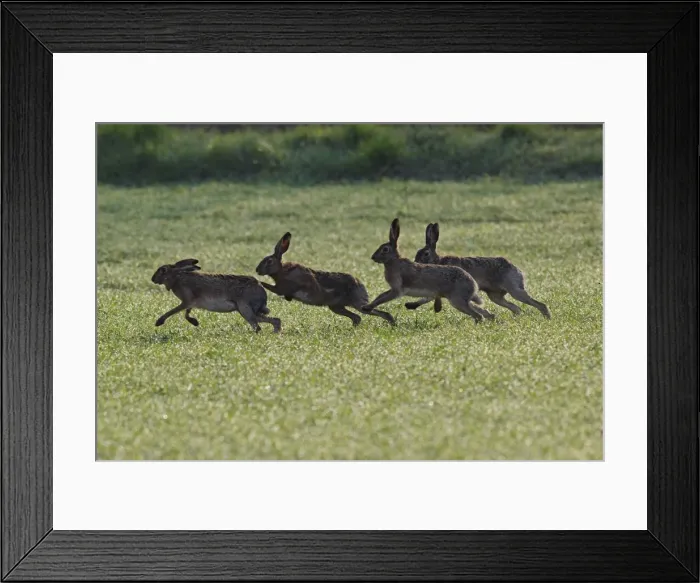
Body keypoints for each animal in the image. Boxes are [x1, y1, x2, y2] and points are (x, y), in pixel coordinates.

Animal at [151, 258, 281, 332]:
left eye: (163, 270)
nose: (153, 279)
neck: (176, 277)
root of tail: (261, 290)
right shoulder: (191, 303)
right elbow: (187, 314)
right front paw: (195, 322)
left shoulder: (187, 301)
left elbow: (174, 311)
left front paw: (159, 322)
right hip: (244, 310)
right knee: (274, 320)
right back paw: (276, 332)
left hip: (245, 309)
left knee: (257, 325)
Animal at [255, 232, 395, 327]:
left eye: (269, 261)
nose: (257, 270)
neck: (281, 270)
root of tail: (359, 284)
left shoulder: (281, 288)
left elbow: (268, 285)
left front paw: (258, 281)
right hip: (336, 307)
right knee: (356, 318)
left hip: (357, 304)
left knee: (379, 313)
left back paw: (392, 324)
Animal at [361, 218, 495, 323]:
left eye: (385, 249)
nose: (373, 257)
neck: (394, 262)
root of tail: (473, 284)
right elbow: (380, 296)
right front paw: (367, 307)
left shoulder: (397, 290)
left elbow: (383, 298)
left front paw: (367, 307)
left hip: (457, 300)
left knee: (478, 315)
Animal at [407, 222, 551, 319]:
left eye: (425, 254)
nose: (415, 263)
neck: (437, 261)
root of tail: (517, 270)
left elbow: (428, 297)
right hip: (495, 296)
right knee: (515, 307)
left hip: (514, 290)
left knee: (539, 304)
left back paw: (547, 317)